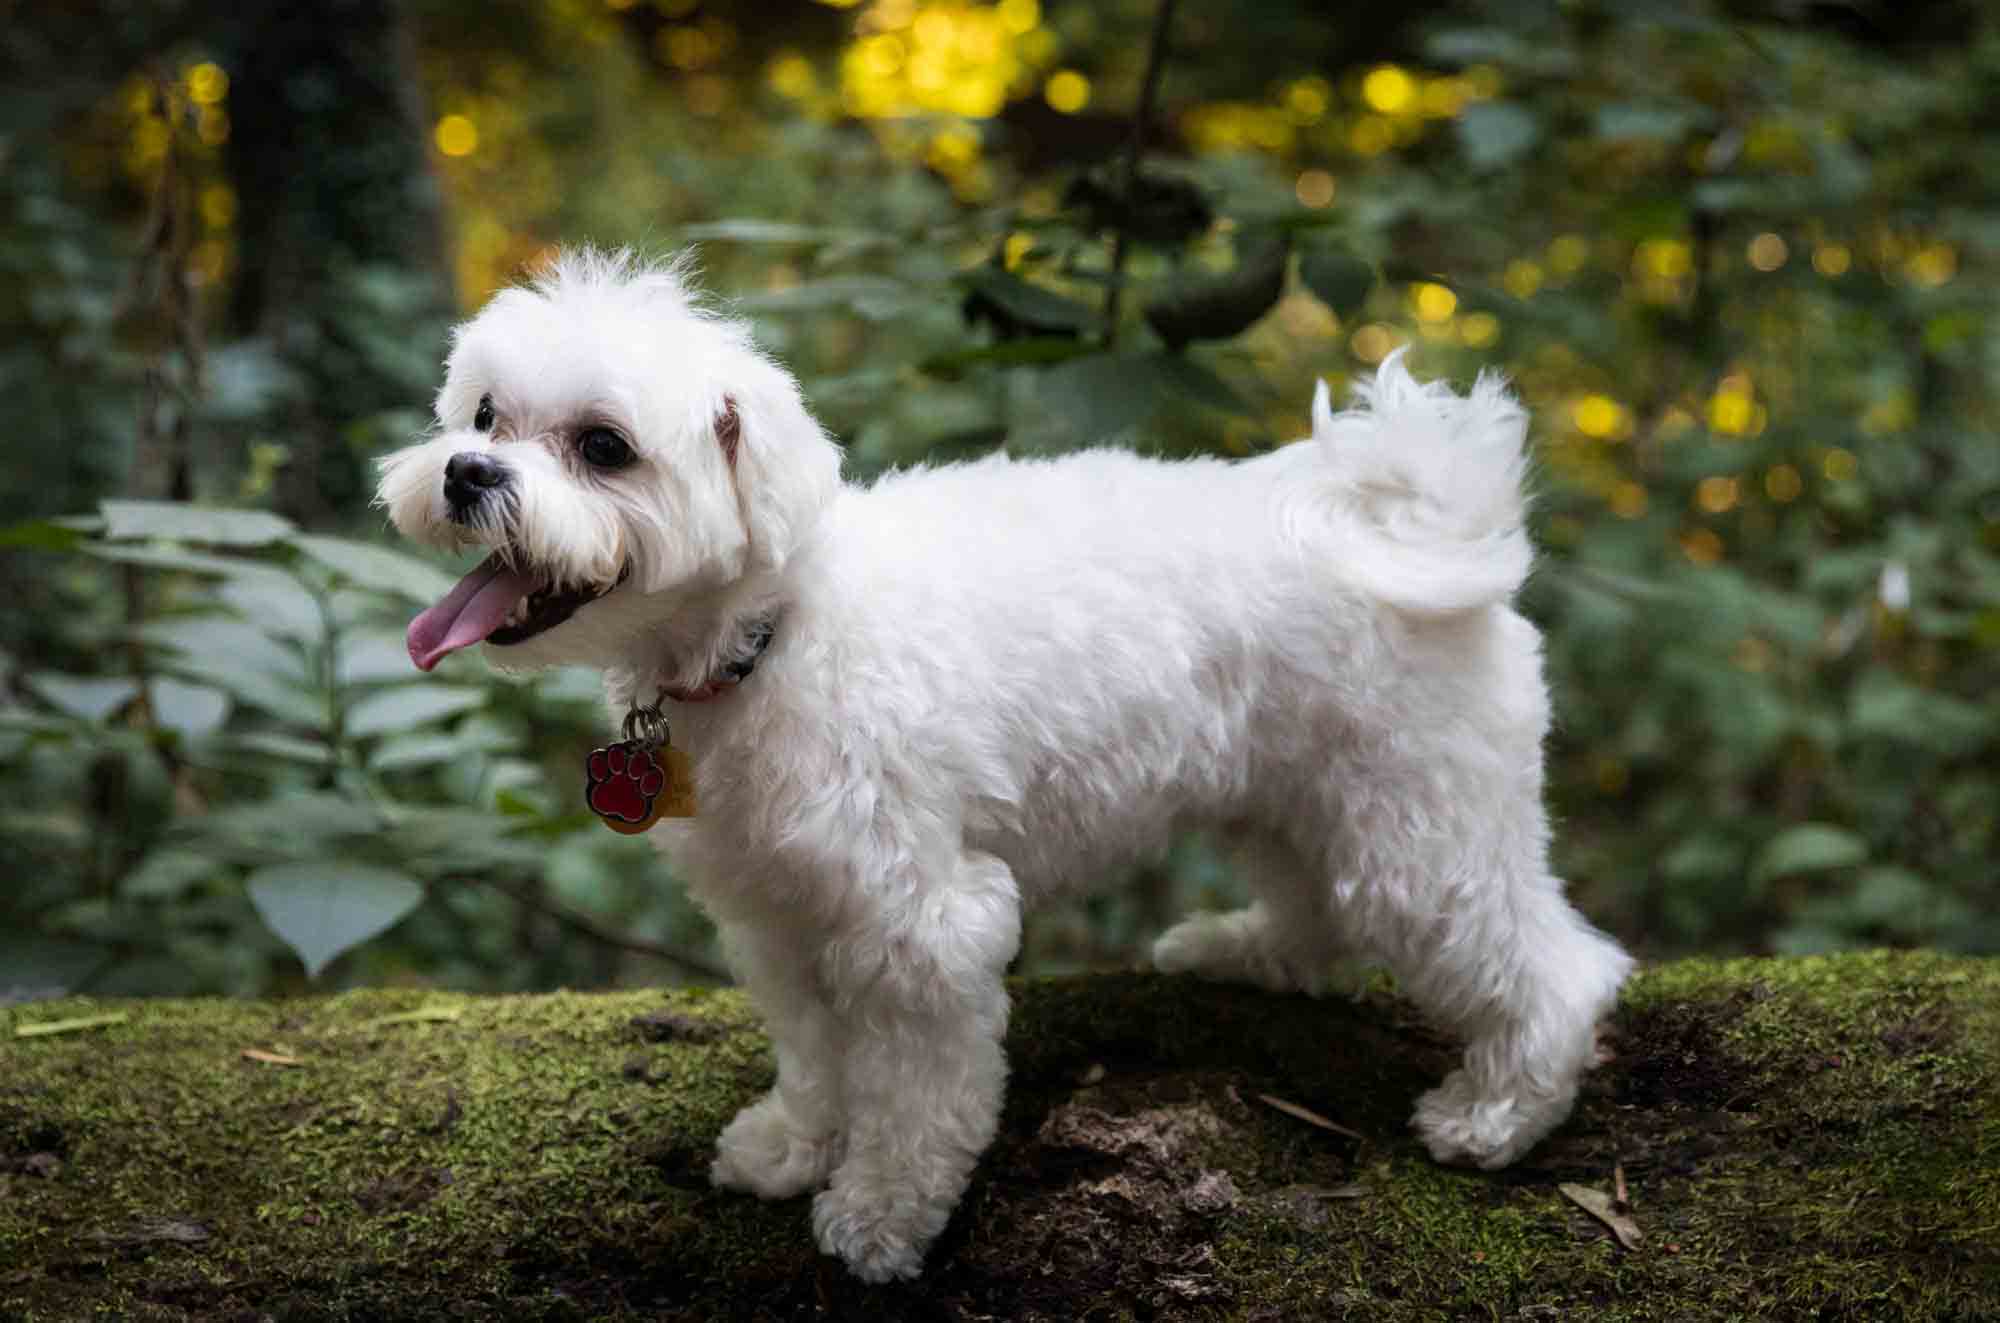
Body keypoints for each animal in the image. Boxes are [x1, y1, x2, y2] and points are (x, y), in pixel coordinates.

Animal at [372, 251, 1624, 1287]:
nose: (467, 471)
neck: (771, 636)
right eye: (483, 414)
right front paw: (795, 1144)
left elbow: (915, 1097)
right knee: (1314, 904)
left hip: (1416, 823)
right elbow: (815, 1052)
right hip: (1294, 790)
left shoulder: (921, 922)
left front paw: (880, 1215)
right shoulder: (774, 909)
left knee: (1555, 968)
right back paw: (1247, 950)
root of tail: (1409, 524)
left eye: (602, 446)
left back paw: (1498, 1113)